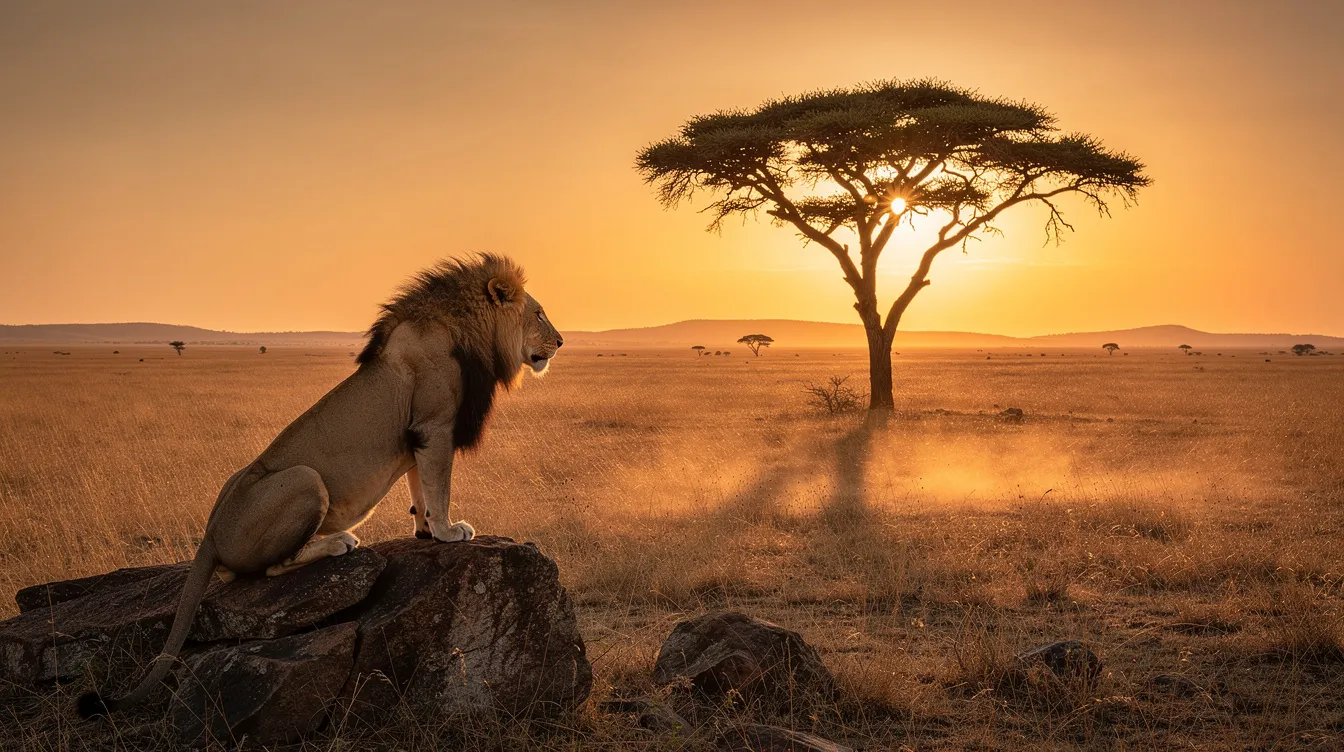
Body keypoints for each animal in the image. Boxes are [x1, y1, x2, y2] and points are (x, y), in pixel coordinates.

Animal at [78, 253, 562, 719]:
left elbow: (420, 488)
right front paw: (448, 531)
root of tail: (211, 534)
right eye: (539, 314)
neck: (467, 329)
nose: (560, 342)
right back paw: (339, 542)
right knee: (273, 568)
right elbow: (438, 487)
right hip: (304, 480)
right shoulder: (435, 425)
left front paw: (425, 530)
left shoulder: (417, 438)